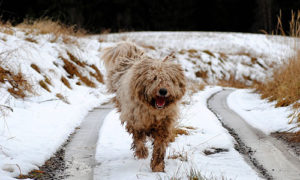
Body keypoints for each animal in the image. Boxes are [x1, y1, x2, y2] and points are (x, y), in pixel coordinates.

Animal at [102, 41, 186, 172]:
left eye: (169, 79)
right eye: (154, 78)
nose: (163, 91)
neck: (153, 110)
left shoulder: (164, 124)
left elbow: (159, 146)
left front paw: (157, 166)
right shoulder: (135, 120)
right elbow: (138, 138)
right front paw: (142, 153)